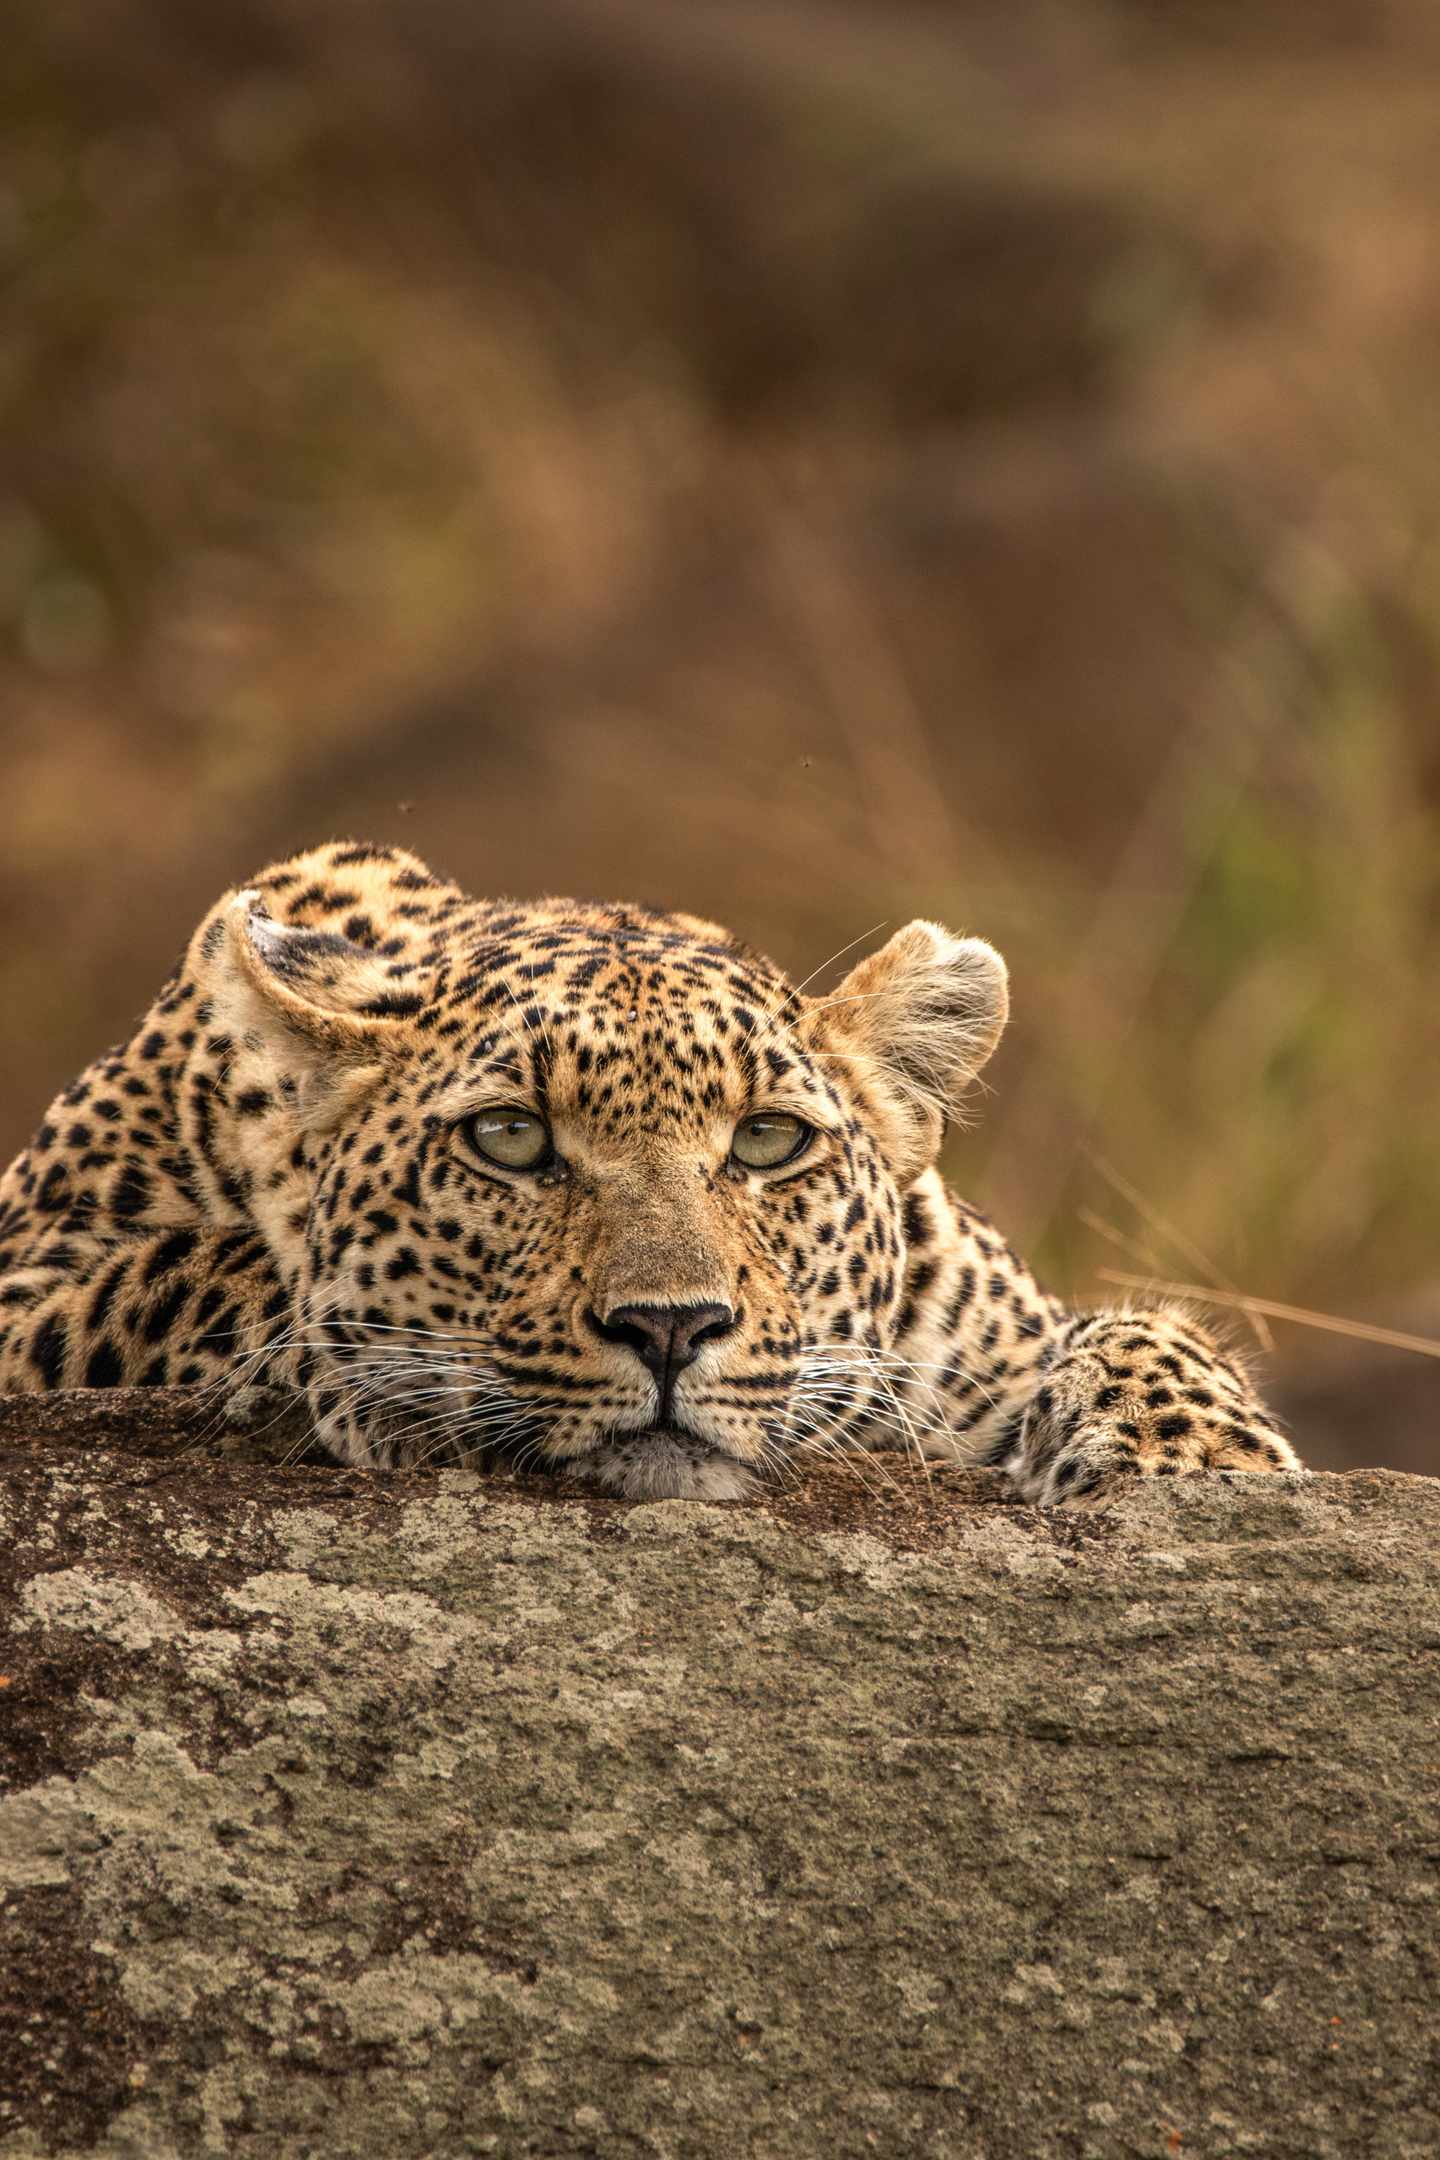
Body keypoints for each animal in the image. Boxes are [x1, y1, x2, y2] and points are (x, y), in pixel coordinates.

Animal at [0, 841, 1301, 1503]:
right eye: (509, 1138)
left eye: (768, 1140)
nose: (671, 1329)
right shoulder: (29, 1284)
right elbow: (205, 1270)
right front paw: (366, 1379)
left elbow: (1140, 1331)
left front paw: (1194, 1457)